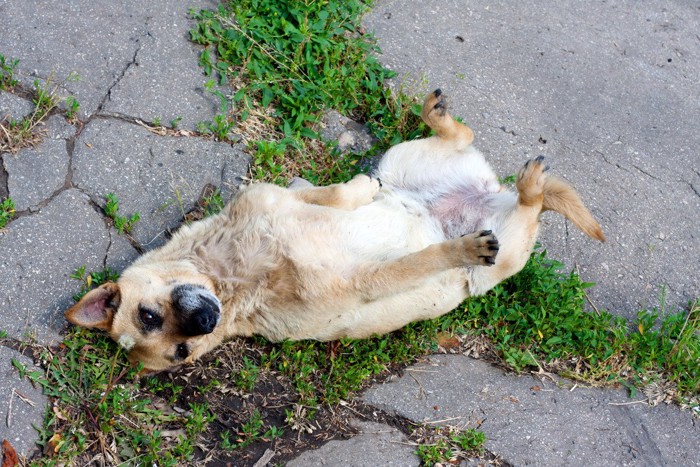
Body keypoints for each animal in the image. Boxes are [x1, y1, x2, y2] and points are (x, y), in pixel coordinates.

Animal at [65, 89, 604, 372]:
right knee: (530, 204)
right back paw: (524, 186)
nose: (205, 321)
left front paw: (357, 190)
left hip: (400, 160)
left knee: (462, 140)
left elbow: (333, 194)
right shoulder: (365, 282)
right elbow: (421, 261)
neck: (236, 277)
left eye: (148, 315)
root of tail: (488, 194)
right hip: (508, 253)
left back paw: (439, 119)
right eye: (180, 352)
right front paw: (459, 251)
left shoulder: (277, 195)